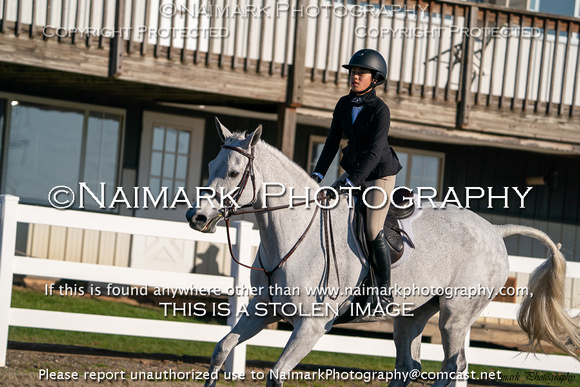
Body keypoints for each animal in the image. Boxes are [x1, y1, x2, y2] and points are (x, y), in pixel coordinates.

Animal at [187, 119, 580, 387]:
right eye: (209, 168)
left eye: (234, 172)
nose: (197, 217)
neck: (293, 235)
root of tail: (494, 231)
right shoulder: (262, 311)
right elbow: (221, 349)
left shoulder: (312, 326)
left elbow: (276, 375)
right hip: (412, 315)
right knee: (409, 368)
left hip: (454, 316)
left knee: (452, 368)